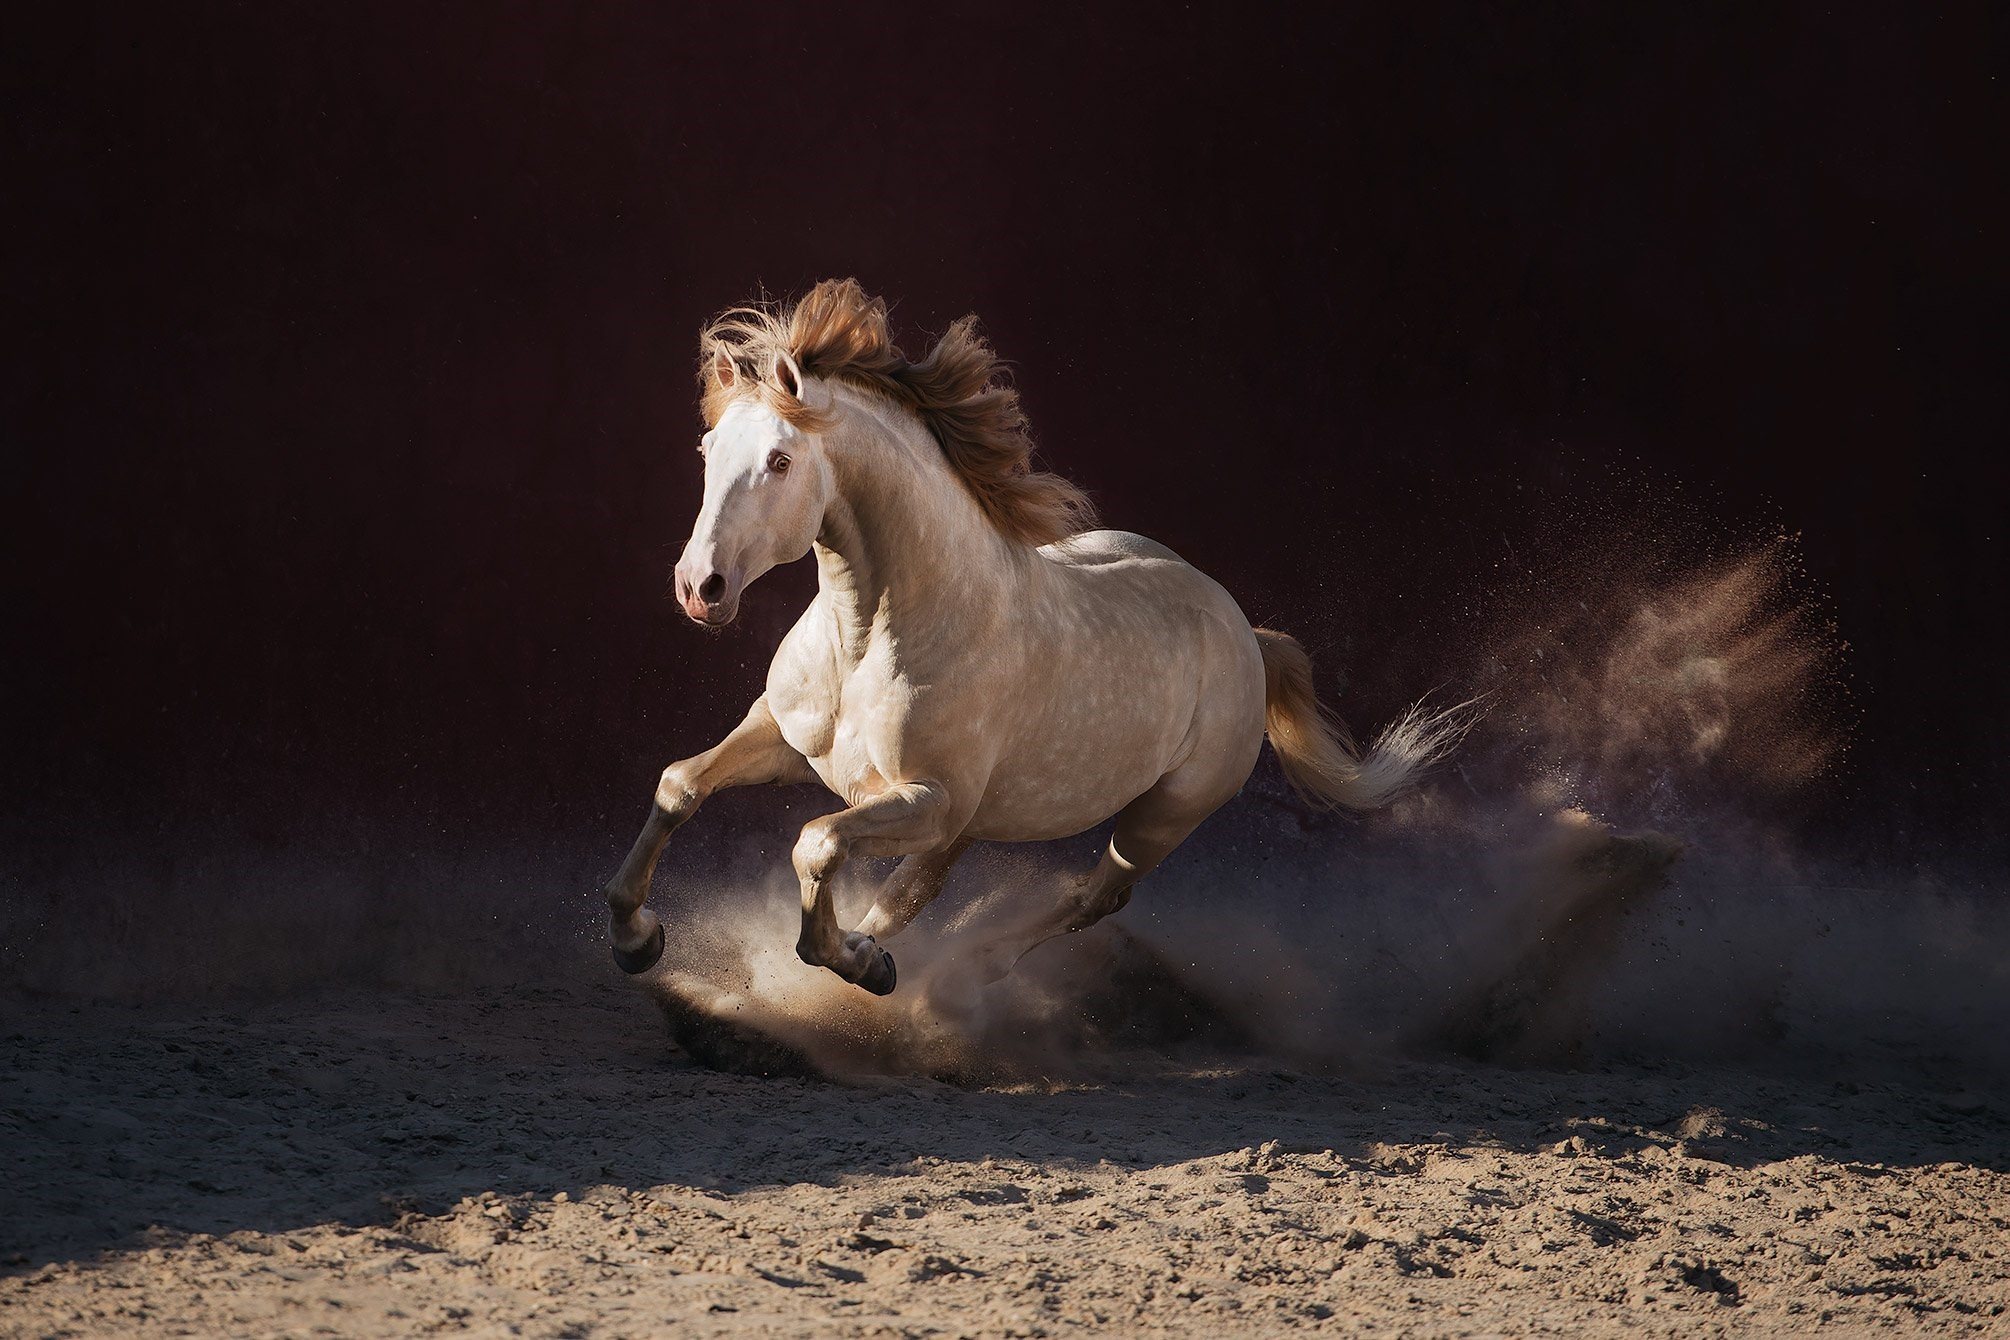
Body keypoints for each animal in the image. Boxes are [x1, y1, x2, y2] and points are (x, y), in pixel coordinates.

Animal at [603, 281, 1471, 996]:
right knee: (924, 886)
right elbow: (680, 785)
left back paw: (957, 968)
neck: (872, 641)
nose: (701, 587)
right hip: (983, 818)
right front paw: (636, 939)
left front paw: (855, 959)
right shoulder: (785, 739)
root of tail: (1244, 635)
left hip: (1160, 816)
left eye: (781, 461)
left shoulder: (924, 799)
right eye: (707, 451)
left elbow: (815, 845)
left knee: (1092, 894)